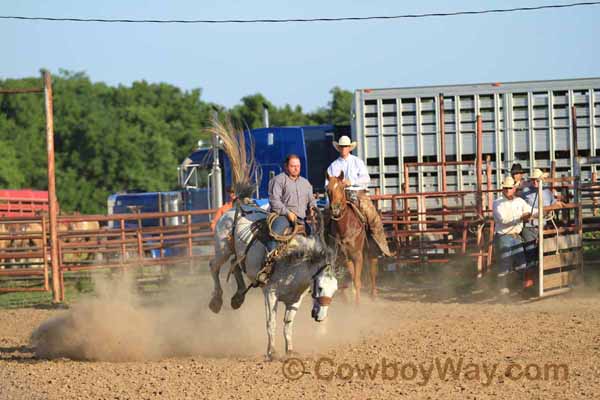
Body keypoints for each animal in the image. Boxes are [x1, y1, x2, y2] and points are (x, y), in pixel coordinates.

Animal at [326, 170, 378, 304]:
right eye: (327, 189)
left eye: (342, 187)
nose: (335, 208)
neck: (346, 226)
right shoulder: (346, 257)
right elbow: (353, 277)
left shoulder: (357, 255)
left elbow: (357, 281)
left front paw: (357, 305)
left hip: (371, 249)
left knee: (372, 270)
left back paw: (373, 294)